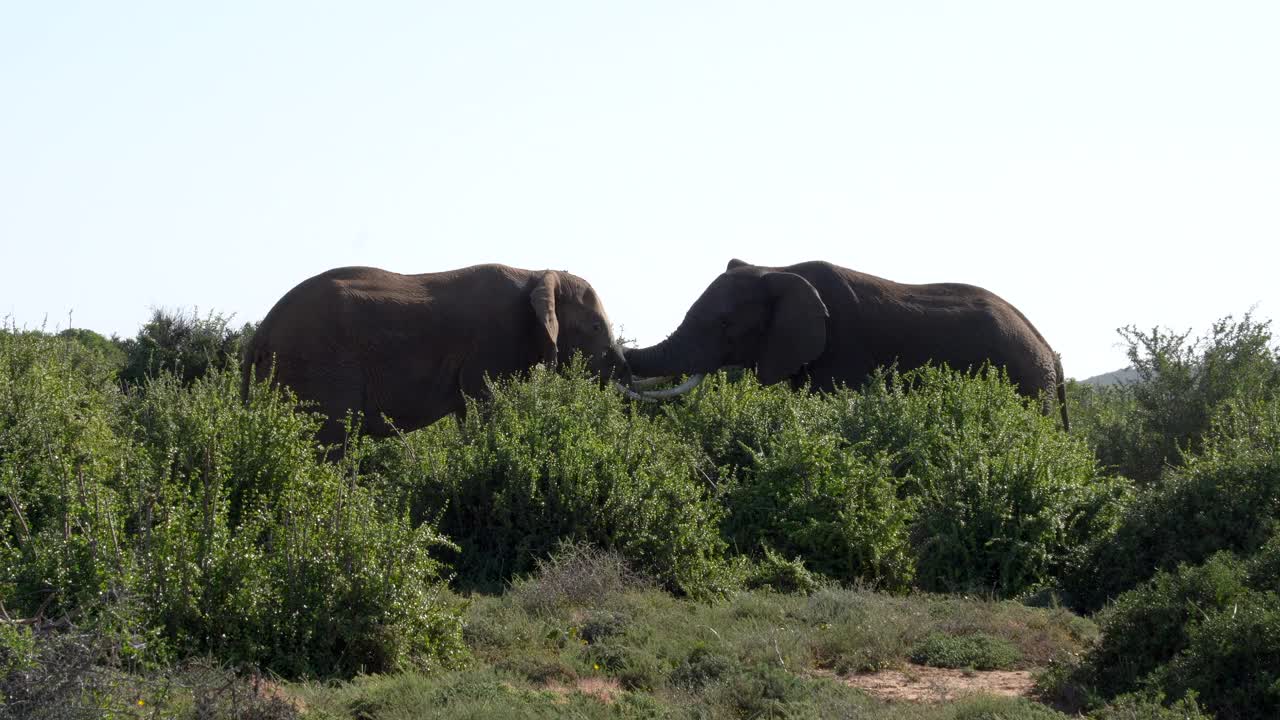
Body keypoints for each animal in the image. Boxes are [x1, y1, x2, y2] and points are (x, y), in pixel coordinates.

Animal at [240, 263, 629, 443]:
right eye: (596, 327)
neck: (536, 273)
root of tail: (260, 333)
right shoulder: (494, 343)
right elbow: (489, 404)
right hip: (317, 366)